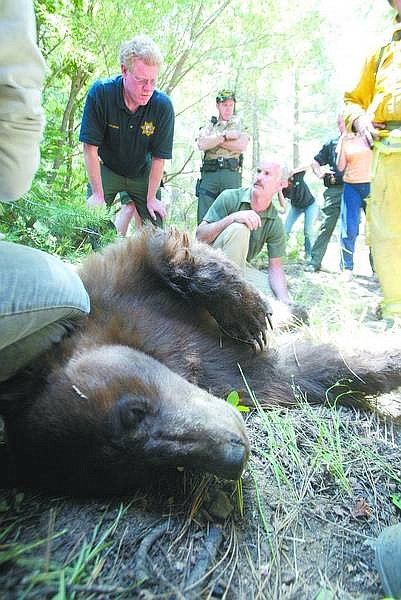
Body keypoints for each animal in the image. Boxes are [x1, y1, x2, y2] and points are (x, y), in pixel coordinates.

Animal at [0, 227, 400, 494]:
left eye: (134, 412)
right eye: (155, 471)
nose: (235, 458)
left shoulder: (110, 289)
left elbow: (164, 250)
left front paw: (243, 311)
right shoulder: (220, 372)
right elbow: (292, 370)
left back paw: (286, 310)